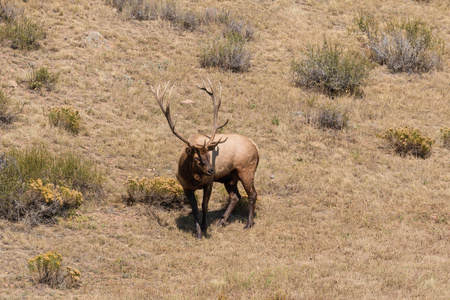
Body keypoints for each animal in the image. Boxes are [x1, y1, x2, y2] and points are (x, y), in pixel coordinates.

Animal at [151, 78, 258, 238]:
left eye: (208, 155)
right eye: (197, 158)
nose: (211, 170)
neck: (192, 177)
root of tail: (256, 146)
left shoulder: (209, 183)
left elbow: (204, 205)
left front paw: (205, 227)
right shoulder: (185, 187)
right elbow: (195, 208)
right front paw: (198, 232)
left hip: (246, 170)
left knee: (252, 194)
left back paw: (248, 224)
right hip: (230, 177)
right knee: (235, 196)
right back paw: (221, 221)